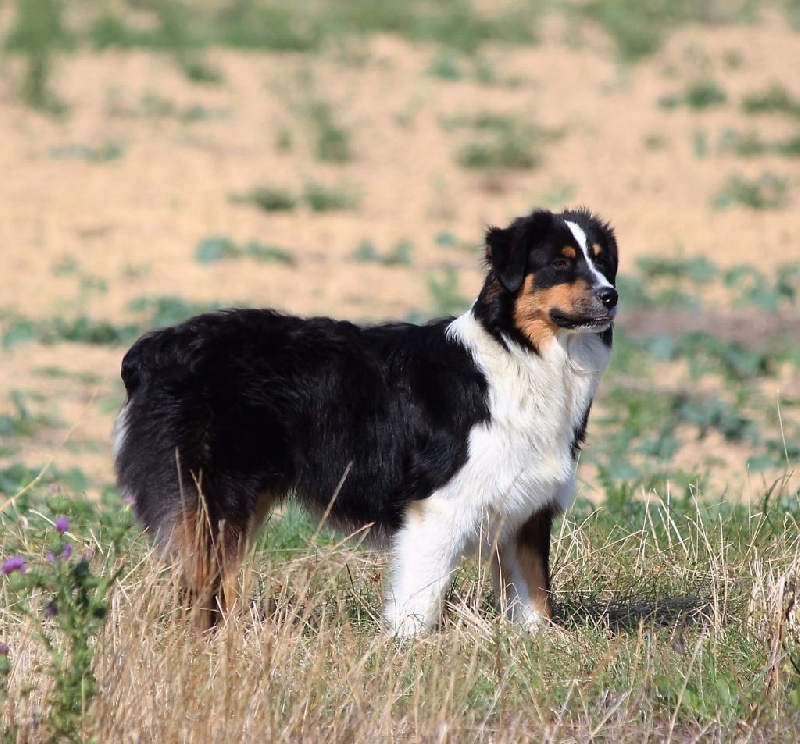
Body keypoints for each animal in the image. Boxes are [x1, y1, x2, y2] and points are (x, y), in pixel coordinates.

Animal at [112, 208, 620, 632]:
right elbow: (419, 601)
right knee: (200, 585)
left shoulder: (527, 511)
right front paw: (408, 652)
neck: (519, 354)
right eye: (560, 264)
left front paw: (540, 647)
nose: (611, 296)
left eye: (602, 262)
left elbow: (536, 599)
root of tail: (152, 349)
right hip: (213, 496)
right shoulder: (439, 507)